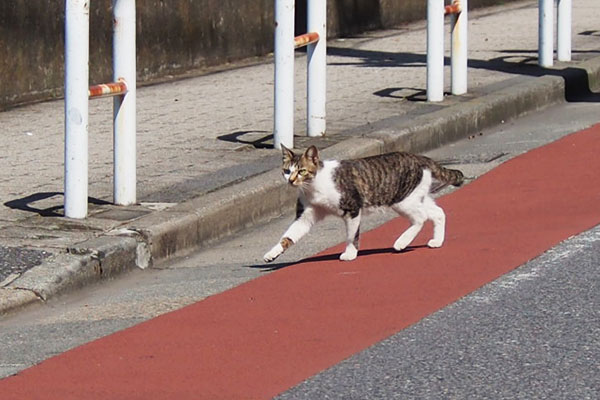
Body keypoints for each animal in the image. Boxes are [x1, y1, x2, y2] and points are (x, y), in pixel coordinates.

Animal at [262, 145, 464, 264]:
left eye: (302, 171)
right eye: (287, 171)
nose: (291, 181)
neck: (313, 187)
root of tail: (421, 158)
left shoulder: (352, 209)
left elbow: (352, 236)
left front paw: (350, 254)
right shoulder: (305, 215)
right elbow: (288, 236)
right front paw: (272, 253)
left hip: (403, 200)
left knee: (420, 218)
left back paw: (402, 242)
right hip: (416, 197)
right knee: (438, 213)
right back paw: (437, 241)